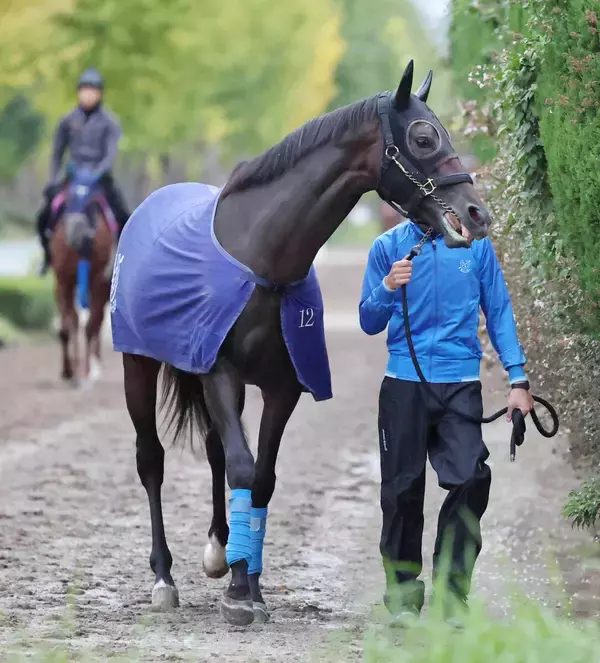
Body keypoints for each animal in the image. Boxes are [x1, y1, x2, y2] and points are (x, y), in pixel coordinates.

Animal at [50, 168, 117, 385]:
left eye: (91, 202)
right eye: (69, 198)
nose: (76, 232)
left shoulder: (99, 281)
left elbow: (90, 325)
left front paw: (87, 372)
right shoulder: (63, 280)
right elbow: (68, 325)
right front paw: (69, 371)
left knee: (96, 322)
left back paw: (95, 365)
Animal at [110, 61, 492, 627]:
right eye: (424, 137)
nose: (476, 213)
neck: (261, 258)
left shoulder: (280, 386)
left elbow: (260, 476)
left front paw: (250, 585)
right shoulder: (219, 371)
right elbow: (243, 467)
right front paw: (239, 595)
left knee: (215, 451)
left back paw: (219, 551)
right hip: (137, 364)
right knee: (151, 459)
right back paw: (163, 578)